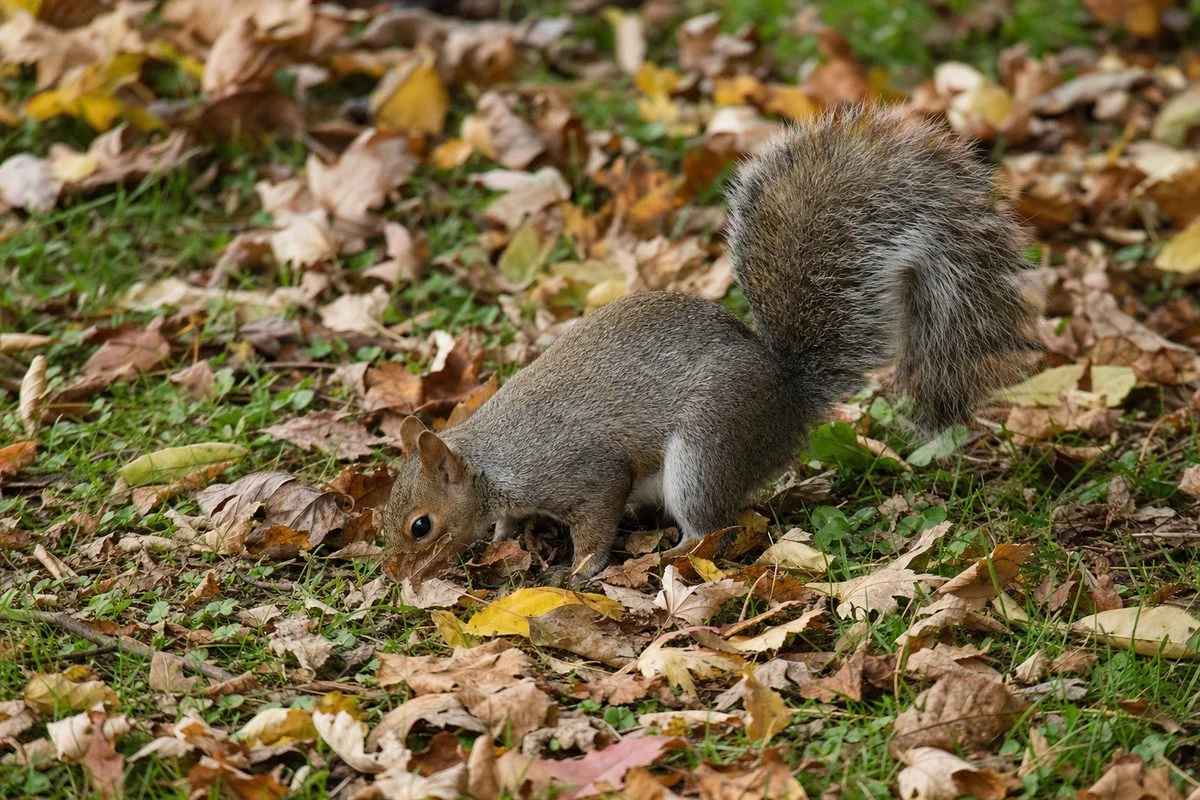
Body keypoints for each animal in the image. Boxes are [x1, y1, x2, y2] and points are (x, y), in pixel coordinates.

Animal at [381, 104, 1040, 584]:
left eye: (420, 525)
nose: (392, 574)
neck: (493, 462)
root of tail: (786, 400)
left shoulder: (581, 473)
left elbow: (595, 521)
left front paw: (580, 570)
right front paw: (504, 537)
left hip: (707, 449)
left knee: (711, 528)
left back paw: (671, 555)